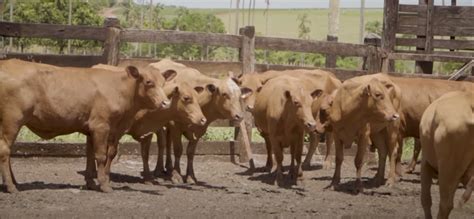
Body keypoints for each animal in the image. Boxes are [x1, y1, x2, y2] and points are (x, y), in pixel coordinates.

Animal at [0, 59, 176, 192]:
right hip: (12, 121)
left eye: (163, 82)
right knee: (5, 150)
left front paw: (91, 183)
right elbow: (101, 155)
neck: (119, 89)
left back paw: (13, 182)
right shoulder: (101, 126)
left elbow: (91, 155)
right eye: (148, 82)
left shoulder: (93, 130)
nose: (165, 103)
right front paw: (104, 185)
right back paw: (11, 186)